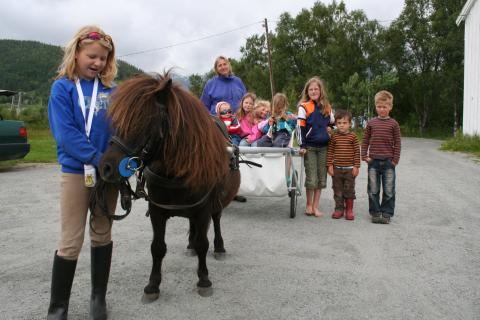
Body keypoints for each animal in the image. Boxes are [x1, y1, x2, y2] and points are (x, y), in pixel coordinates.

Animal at [98, 72, 240, 300]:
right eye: (118, 121)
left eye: (144, 120)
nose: (106, 167)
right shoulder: (157, 211)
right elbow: (157, 247)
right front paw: (153, 284)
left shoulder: (202, 210)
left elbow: (203, 244)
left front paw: (204, 279)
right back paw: (190, 244)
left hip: (216, 203)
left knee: (216, 220)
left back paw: (219, 247)